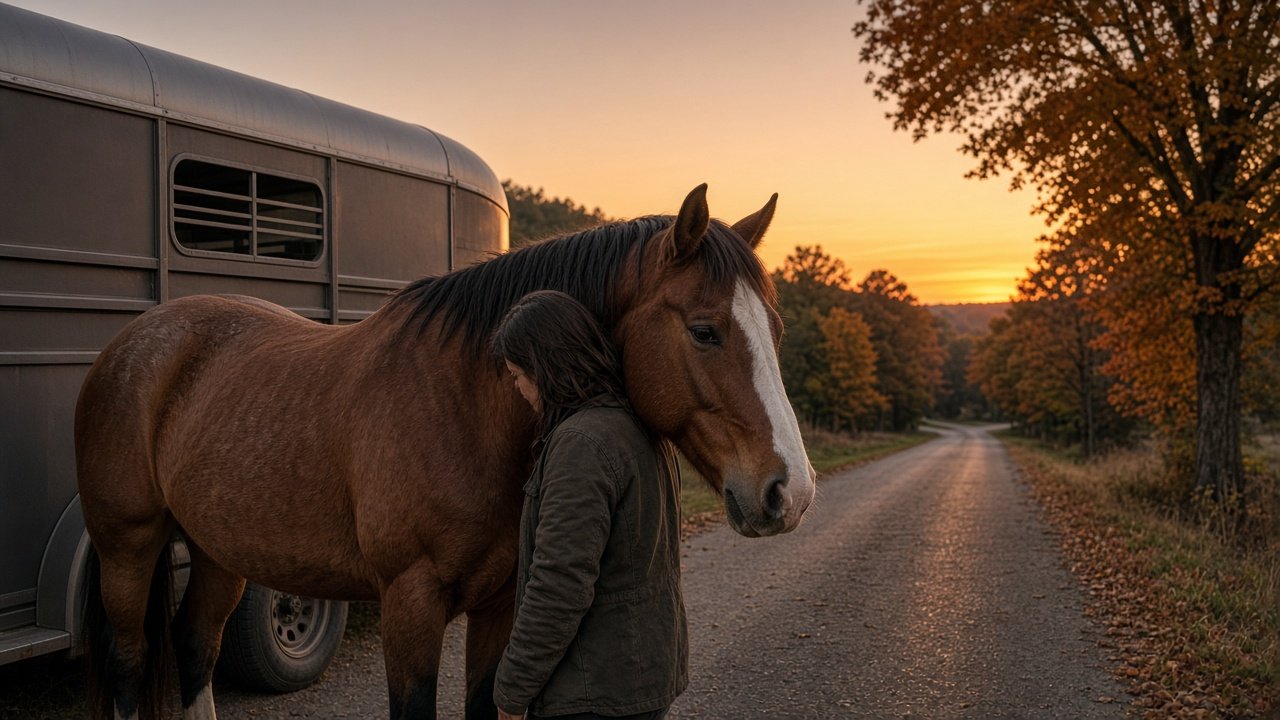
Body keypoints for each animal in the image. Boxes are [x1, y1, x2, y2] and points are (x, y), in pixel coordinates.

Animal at [76, 184, 816, 720]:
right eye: (704, 330)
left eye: (776, 329)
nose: (792, 492)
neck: (463, 409)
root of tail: (131, 344)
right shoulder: (410, 605)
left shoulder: (502, 605)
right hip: (128, 548)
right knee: (129, 662)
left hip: (219, 548)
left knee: (196, 646)